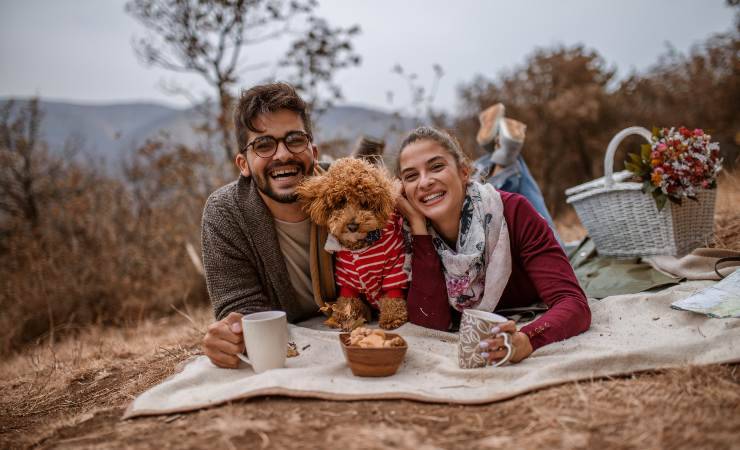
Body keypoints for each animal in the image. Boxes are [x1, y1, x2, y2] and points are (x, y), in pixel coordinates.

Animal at [294, 158, 410, 330]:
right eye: (341, 201)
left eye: (364, 202)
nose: (352, 226)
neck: (360, 248)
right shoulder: (346, 278)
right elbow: (347, 299)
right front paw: (344, 317)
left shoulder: (394, 268)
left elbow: (392, 294)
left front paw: (392, 317)